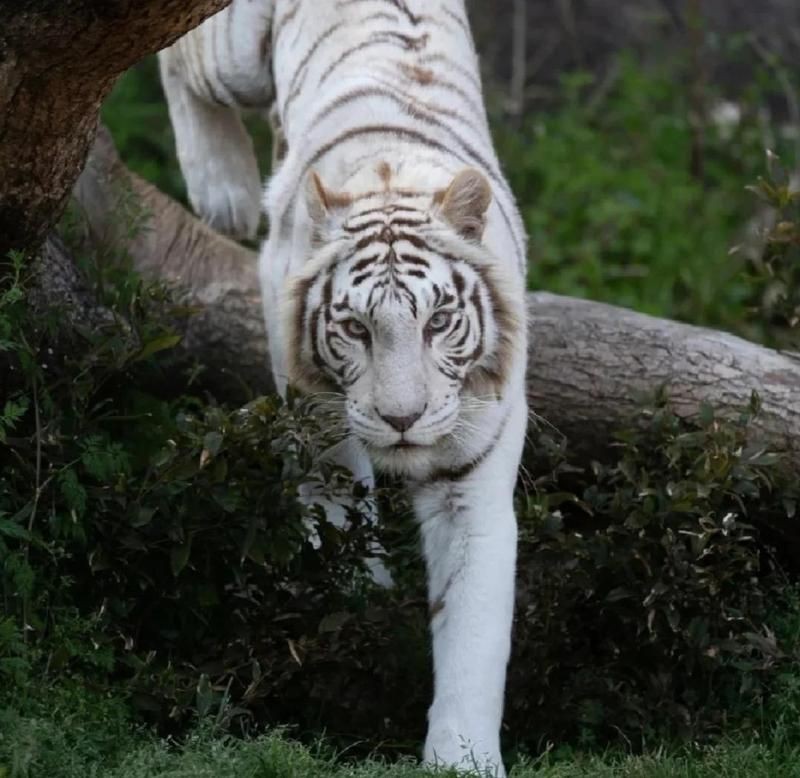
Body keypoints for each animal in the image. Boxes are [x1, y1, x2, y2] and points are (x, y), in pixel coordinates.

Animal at [158, 1, 528, 774]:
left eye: (439, 321)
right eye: (355, 327)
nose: (402, 418)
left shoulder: (471, 480)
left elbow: (473, 630)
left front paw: (461, 757)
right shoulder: (311, 387)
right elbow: (334, 495)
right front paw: (358, 603)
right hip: (235, 56)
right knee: (177, 57)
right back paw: (224, 189)